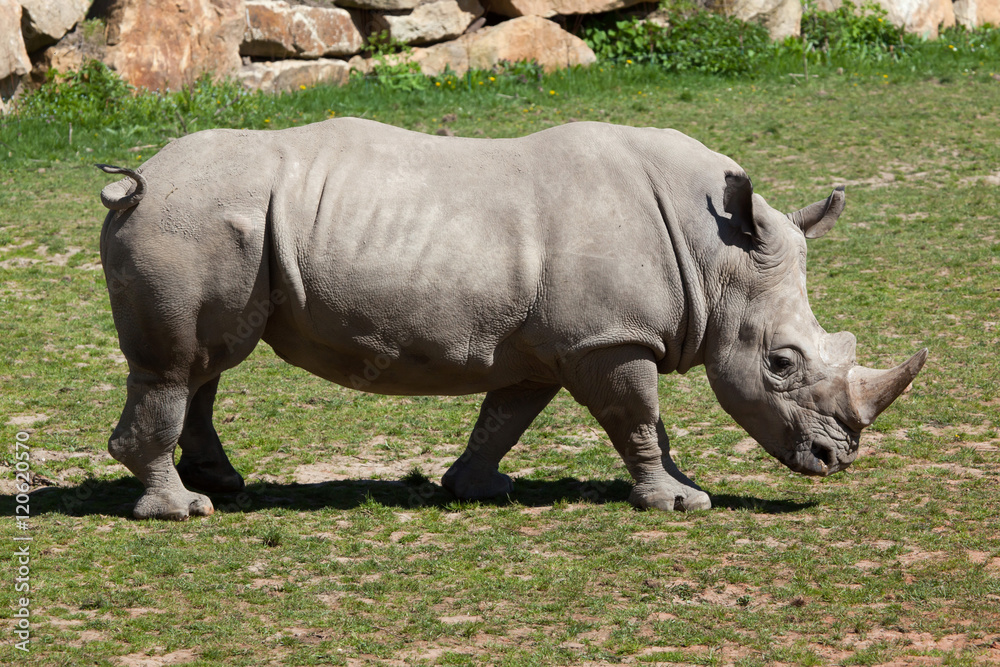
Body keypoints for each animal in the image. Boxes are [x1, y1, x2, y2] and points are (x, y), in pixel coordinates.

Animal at [97, 118, 927, 521]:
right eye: (781, 363)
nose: (835, 459)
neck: (714, 252)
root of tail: (139, 180)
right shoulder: (610, 337)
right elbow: (640, 417)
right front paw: (681, 502)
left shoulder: (550, 344)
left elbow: (506, 416)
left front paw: (474, 487)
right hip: (190, 218)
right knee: (176, 366)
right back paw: (184, 510)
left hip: (220, 227)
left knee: (209, 362)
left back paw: (221, 481)